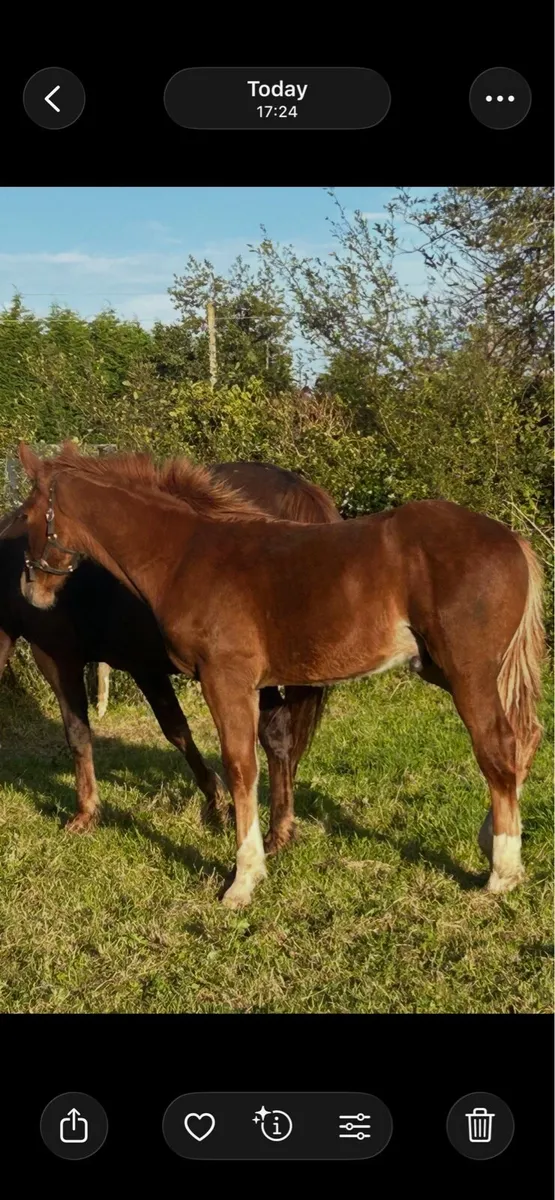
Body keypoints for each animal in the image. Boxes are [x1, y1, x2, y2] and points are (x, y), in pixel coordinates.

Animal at [0, 459, 340, 850]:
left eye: (29, 516)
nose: (31, 588)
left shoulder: (59, 658)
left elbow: (79, 732)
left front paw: (85, 812)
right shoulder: (143, 666)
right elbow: (177, 730)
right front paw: (217, 802)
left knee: (276, 735)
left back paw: (277, 831)